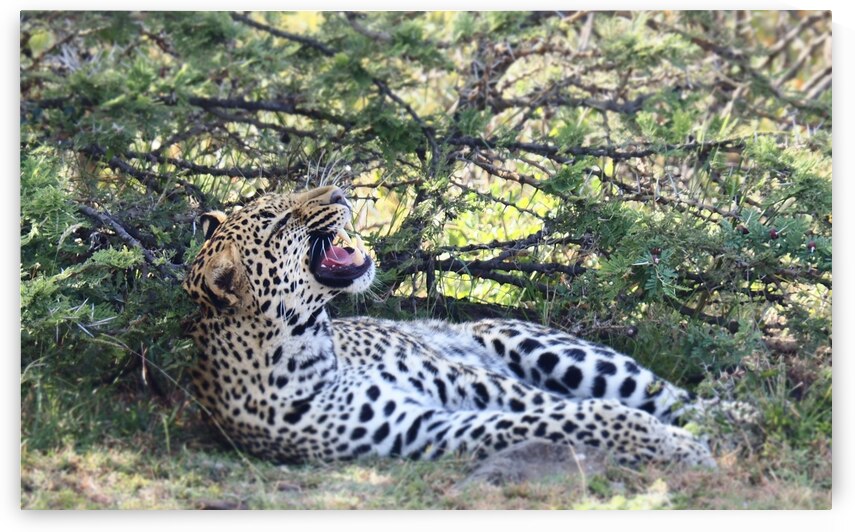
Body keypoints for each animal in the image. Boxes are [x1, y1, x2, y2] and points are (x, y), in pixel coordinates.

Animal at [182, 185, 717, 468]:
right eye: (277, 222)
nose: (339, 192)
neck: (307, 346)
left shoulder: (469, 381)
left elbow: (562, 406)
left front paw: (676, 442)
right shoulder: (425, 428)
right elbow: (564, 416)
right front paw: (668, 443)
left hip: (544, 347)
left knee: (677, 397)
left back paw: (729, 417)